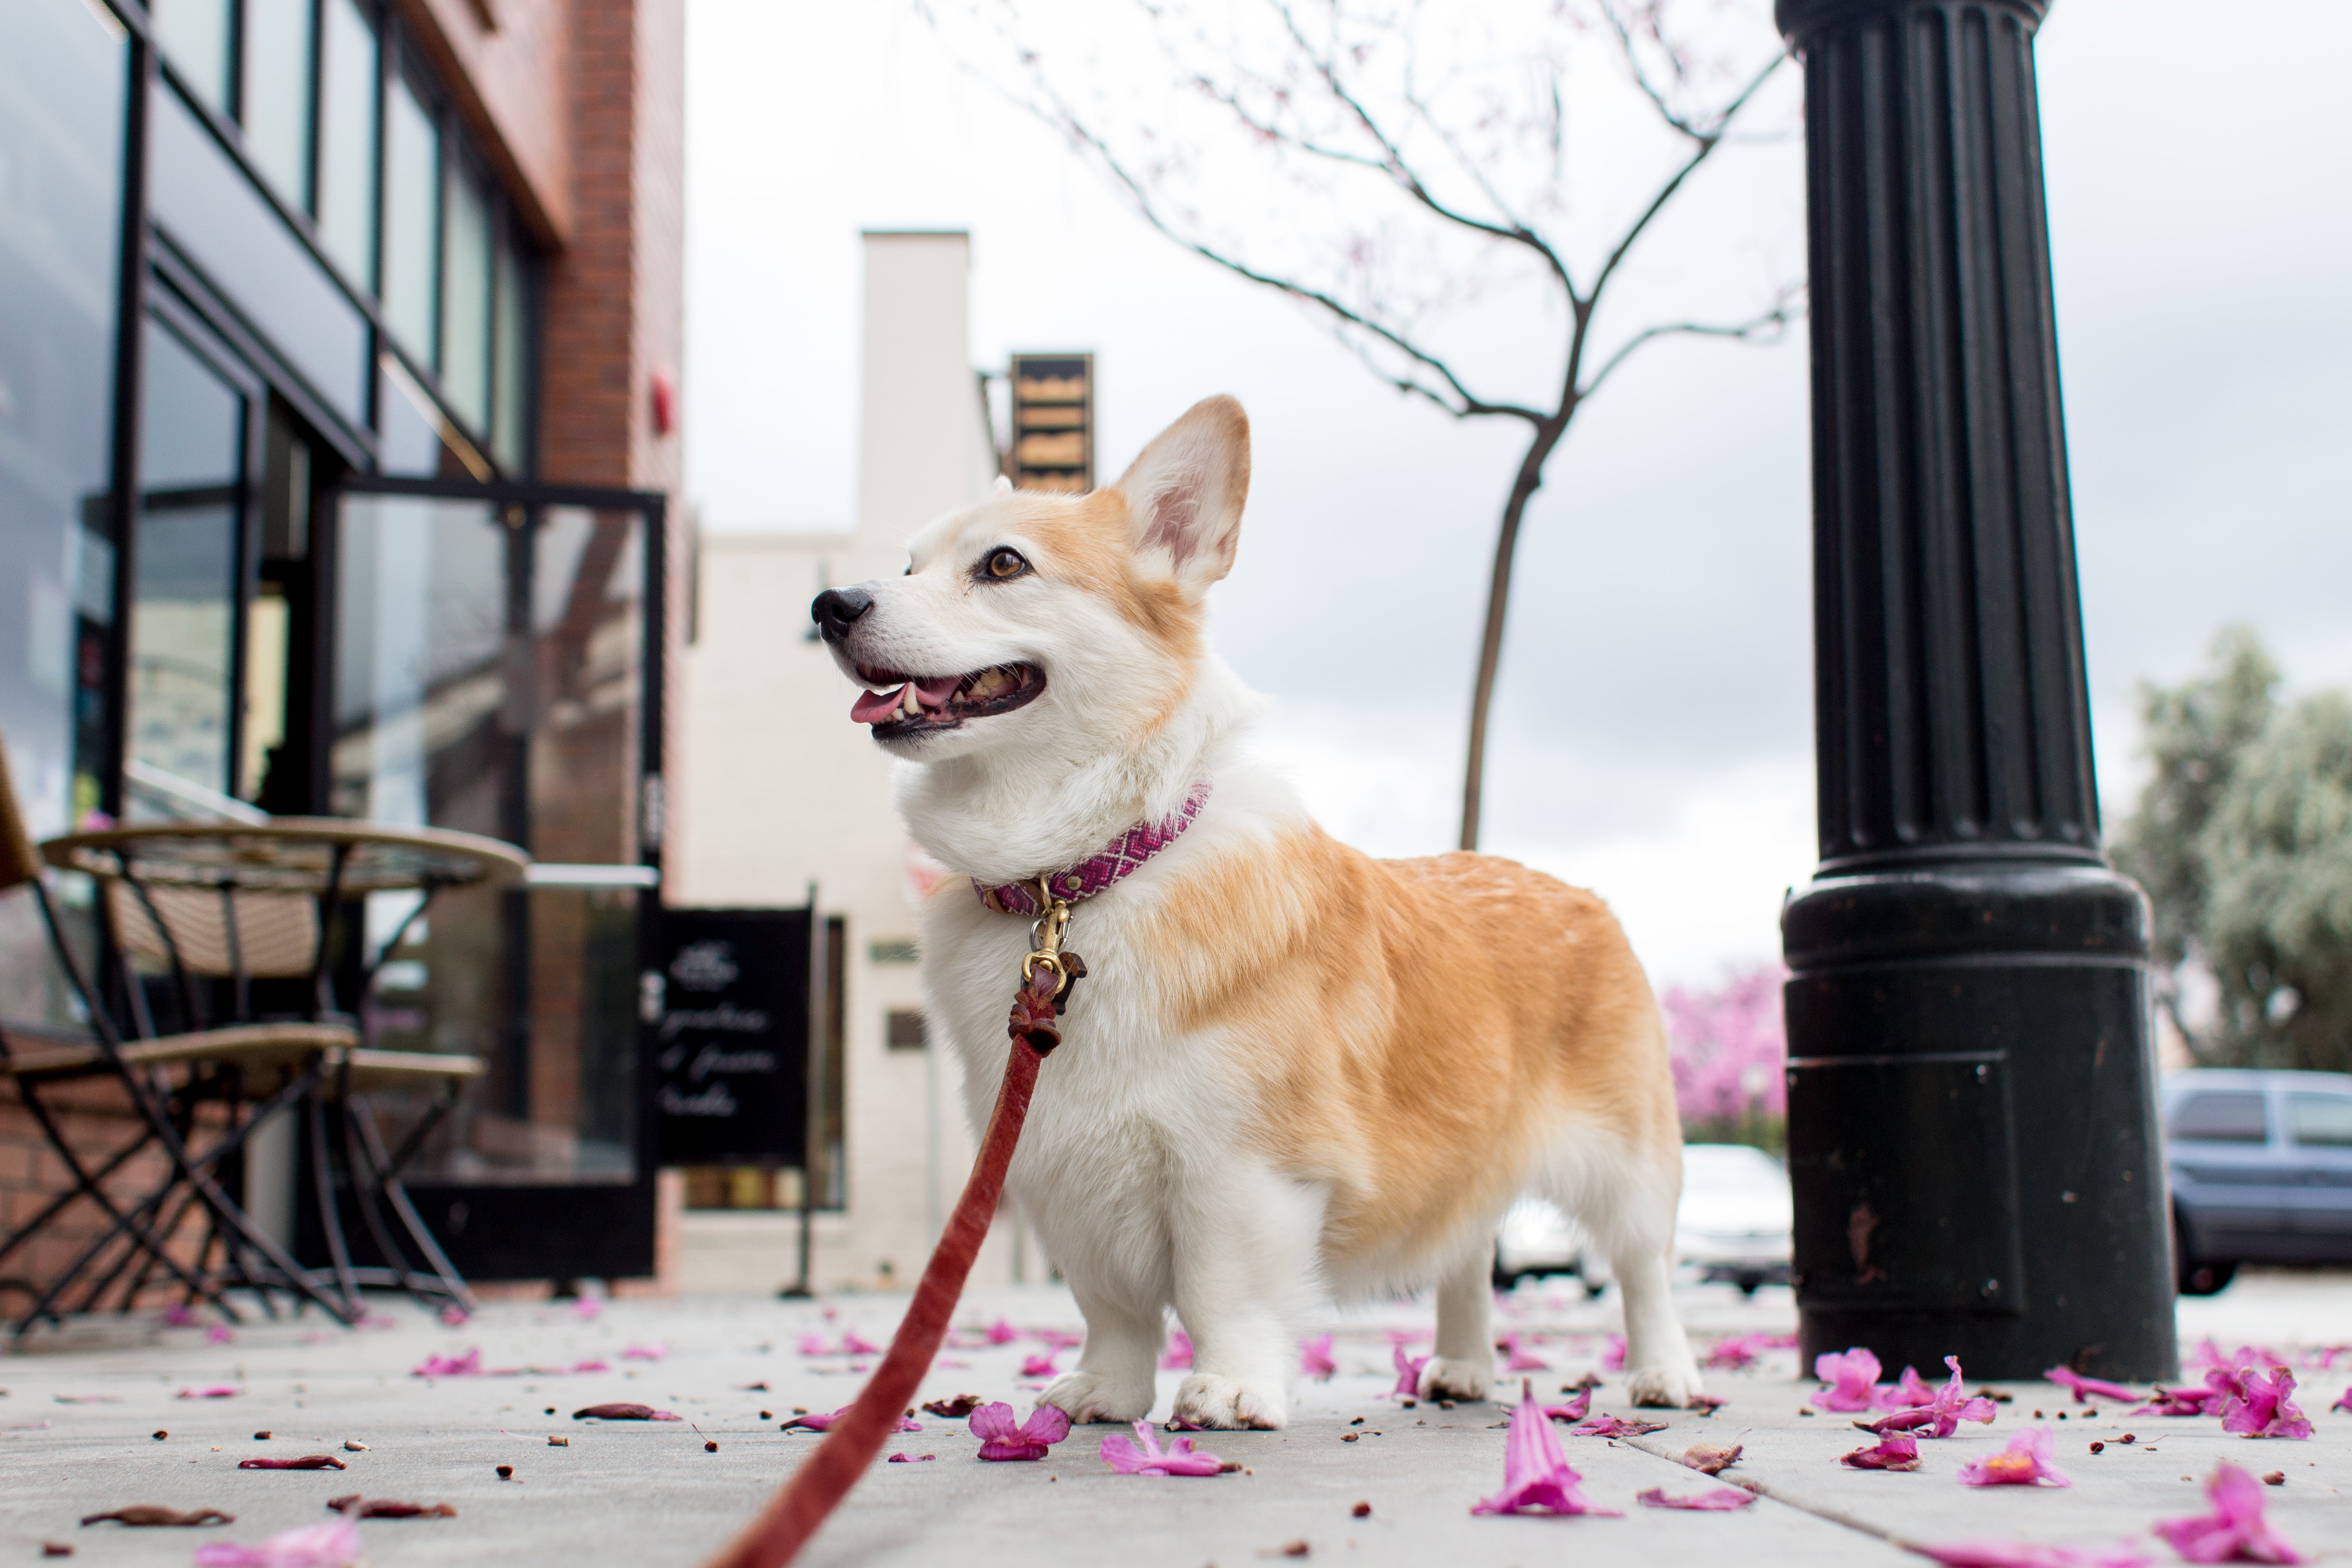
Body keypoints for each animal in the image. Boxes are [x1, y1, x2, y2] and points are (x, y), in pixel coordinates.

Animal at [818, 399, 1703, 1429]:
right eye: (908, 565)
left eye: (1003, 564)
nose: (830, 605)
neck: (1076, 879)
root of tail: (1577, 891)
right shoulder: (1056, 1164)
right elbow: (1110, 1308)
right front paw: (1105, 1393)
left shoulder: (1241, 1166)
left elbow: (1221, 1289)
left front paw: (1233, 1388)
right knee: (1467, 1250)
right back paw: (1462, 1366)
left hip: (1627, 1163)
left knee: (1644, 1268)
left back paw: (1665, 1374)